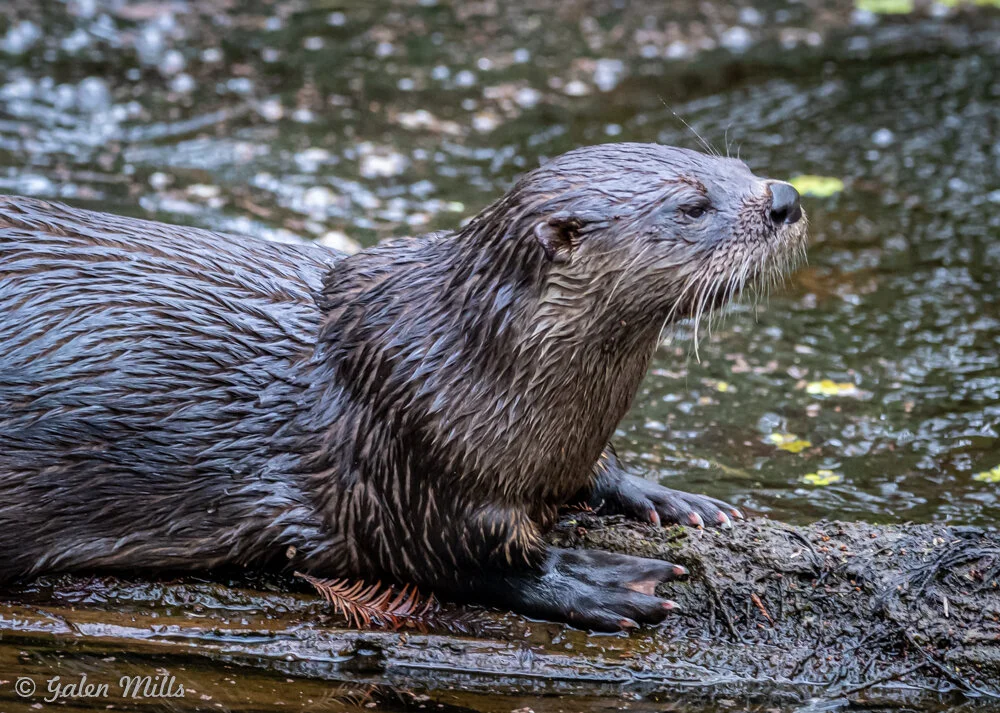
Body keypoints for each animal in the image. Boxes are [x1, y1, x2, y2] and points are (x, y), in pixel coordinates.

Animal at [0, 143, 806, 631]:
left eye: (733, 164)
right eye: (691, 206)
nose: (786, 197)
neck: (460, 364)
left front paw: (665, 496)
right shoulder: (406, 452)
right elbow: (468, 556)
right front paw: (596, 581)